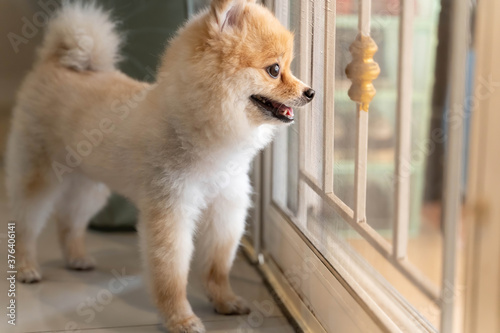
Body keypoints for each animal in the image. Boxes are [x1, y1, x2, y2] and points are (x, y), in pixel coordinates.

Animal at [5, 1, 312, 330]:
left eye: (289, 67)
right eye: (274, 70)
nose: (311, 92)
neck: (201, 131)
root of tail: (56, 60)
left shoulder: (224, 209)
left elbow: (217, 266)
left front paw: (225, 301)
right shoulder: (170, 211)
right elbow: (171, 275)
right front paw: (181, 319)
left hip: (89, 184)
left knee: (68, 220)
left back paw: (76, 258)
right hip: (38, 175)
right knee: (25, 223)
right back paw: (26, 268)